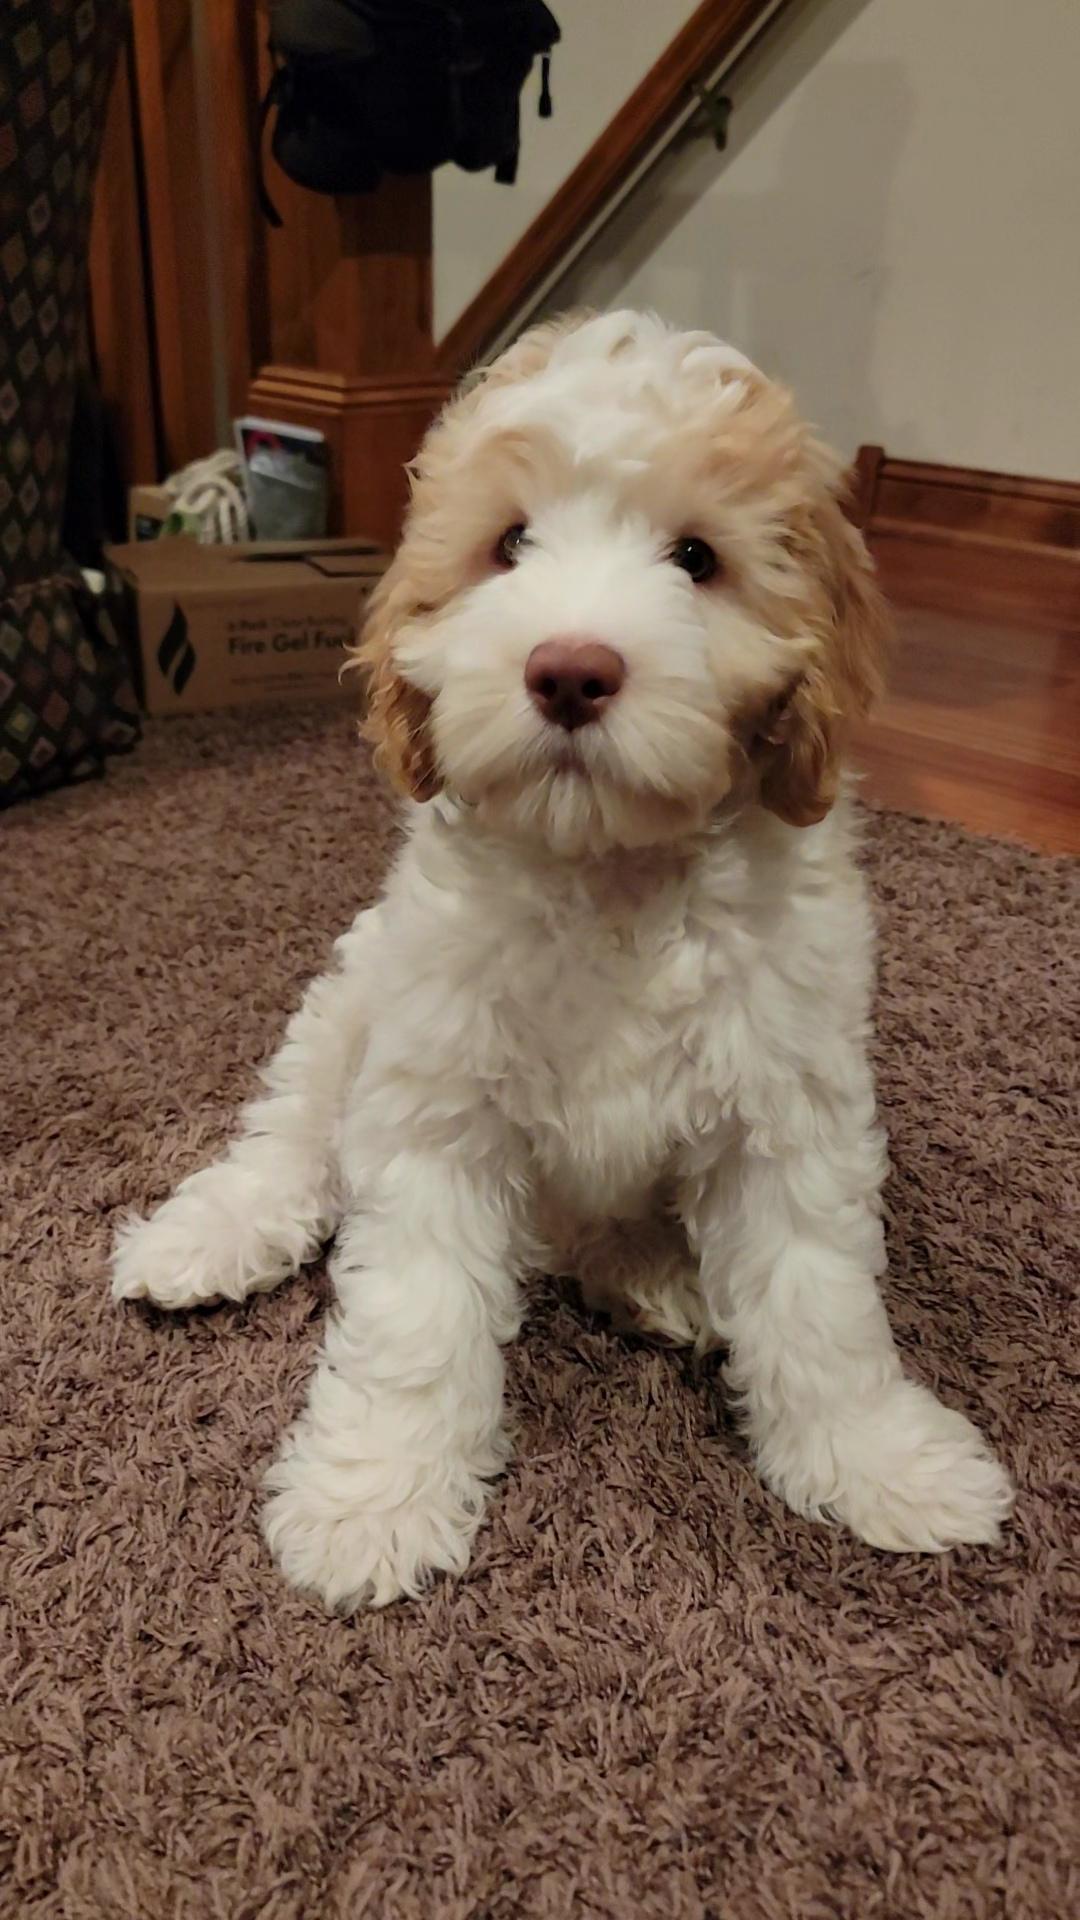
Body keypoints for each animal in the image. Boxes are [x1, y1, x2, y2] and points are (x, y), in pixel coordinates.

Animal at [112, 311, 1013, 1608]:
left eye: (697, 557)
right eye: (510, 544)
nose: (570, 670)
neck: (608, 875)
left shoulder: (788, 1108)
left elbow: (821, 1302)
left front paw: (881, 1459)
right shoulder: (435, 1103)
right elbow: (416, 1317)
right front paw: (374, 1498)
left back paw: (662, 1280)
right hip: (349, 1006)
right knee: (290, 1135)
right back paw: (207, 1237)